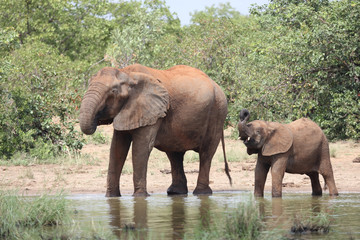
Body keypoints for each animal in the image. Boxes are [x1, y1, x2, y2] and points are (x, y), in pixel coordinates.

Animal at [79, 64, 231, 197]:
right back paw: (175, 192)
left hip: (218, 111)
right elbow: (117, 148)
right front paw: (111, 198)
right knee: (175, 155)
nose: (96, 120)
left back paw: (201, 193)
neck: (128, 74)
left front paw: (139, 197)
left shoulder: (152, 111)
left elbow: (141, 147)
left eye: (113, 91)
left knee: (206, 153)